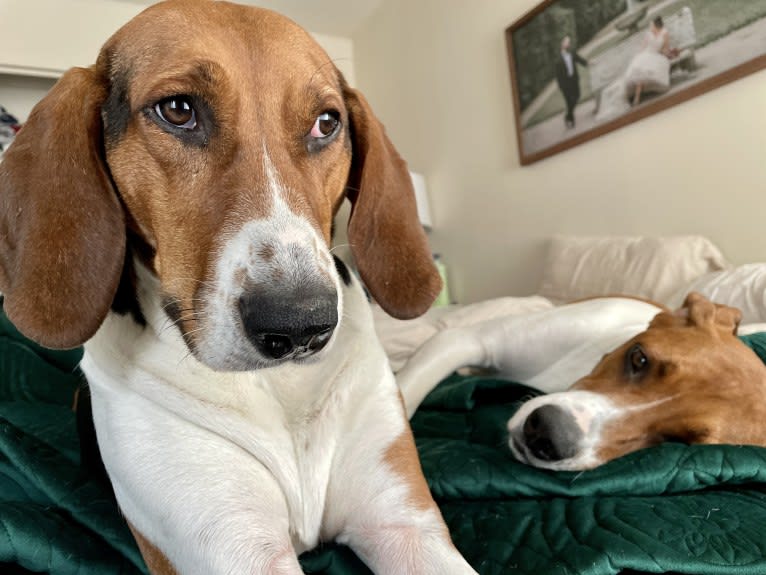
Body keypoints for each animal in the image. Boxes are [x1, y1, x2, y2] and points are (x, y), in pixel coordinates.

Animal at [0, 1, 480, 575]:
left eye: (326, 123)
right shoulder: (233, 547)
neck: (282, 388)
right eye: (178, 110)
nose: (299, 325)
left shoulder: (404, 524)